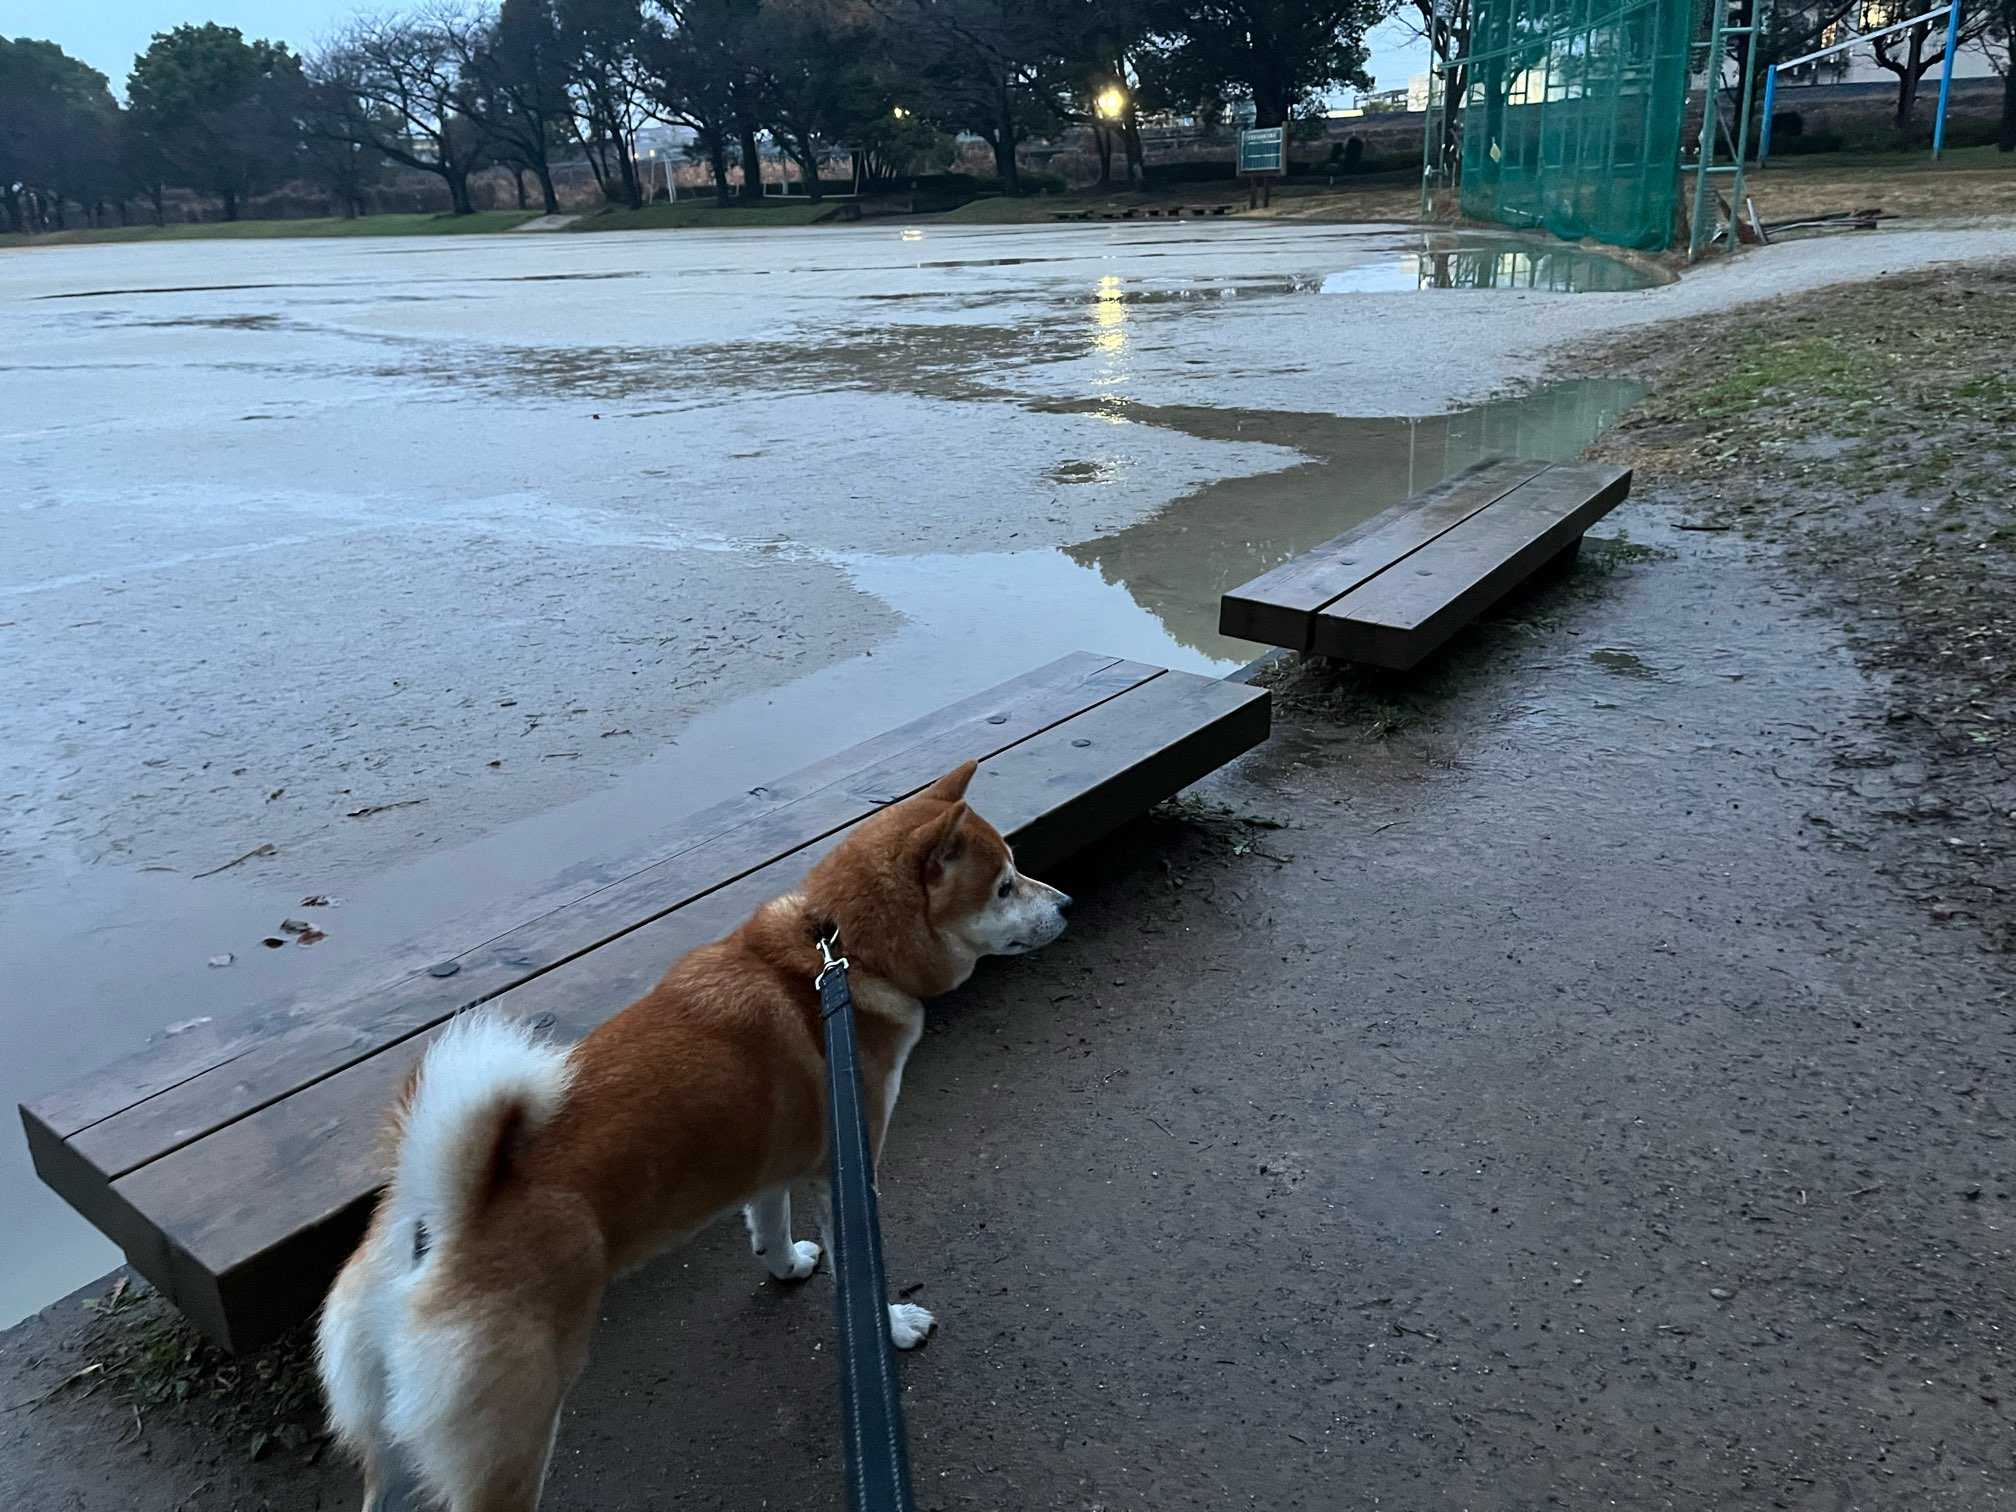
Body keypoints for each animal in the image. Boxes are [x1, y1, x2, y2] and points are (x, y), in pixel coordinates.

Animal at [315, 760, 1071, 1512]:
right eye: (1005, 885)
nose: (1064, 904)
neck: (842, 958)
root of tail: (436, 1223)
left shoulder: (775, 1160)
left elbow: (769, 1223)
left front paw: (785, 1266)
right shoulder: (844, 1168)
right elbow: (858, 1274)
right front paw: (891, 1327)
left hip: (392, 1437)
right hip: (511, 1441)